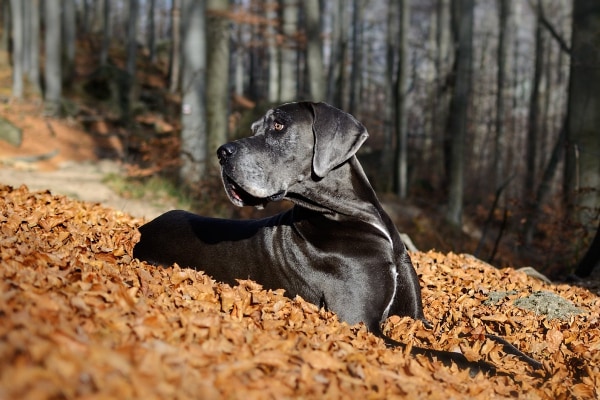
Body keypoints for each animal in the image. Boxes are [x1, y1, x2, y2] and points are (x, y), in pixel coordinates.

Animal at [134, 101, 540, 376]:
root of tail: (145, 227)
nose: (221, 152)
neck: (352, 216)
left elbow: (486, 335)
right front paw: (493, 370)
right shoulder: (364, 326)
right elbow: (442, 353)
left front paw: (532, 362)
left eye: (278, 125)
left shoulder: (415, 316)